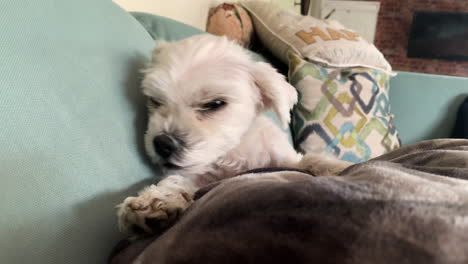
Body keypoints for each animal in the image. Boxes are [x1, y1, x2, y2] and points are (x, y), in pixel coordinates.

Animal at [117, 34, 352, 234]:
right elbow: (178, 180)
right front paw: (154, 201)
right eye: (155, 101)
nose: (163, 143)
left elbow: (312, 161)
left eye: (214, 104)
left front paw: (340, 167)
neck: (233, 155)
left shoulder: (285, 159)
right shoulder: (201, 176)